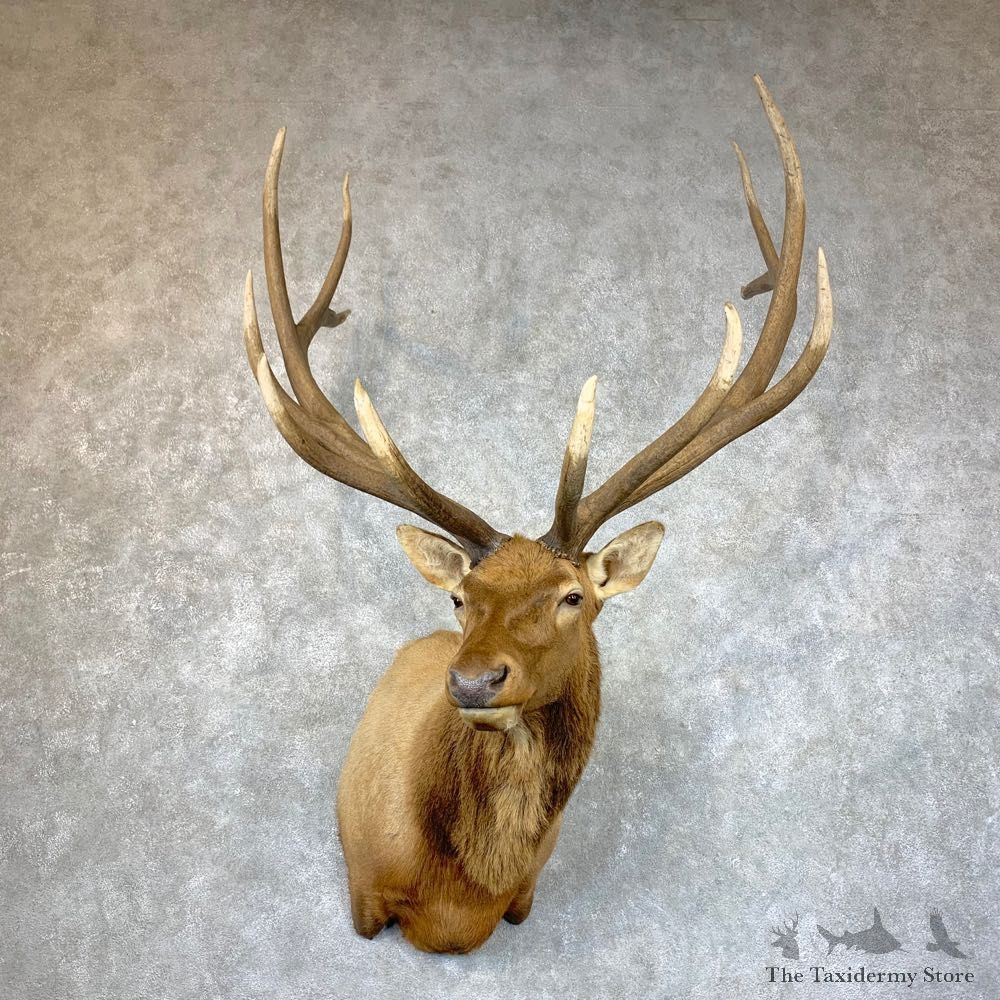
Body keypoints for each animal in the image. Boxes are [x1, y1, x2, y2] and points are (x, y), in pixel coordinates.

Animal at [242, 76, 833, 954]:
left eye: (573, 597)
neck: (459, 900)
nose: (473, 679)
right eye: (460, 598)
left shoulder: (525, 898)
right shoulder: (362, 894)